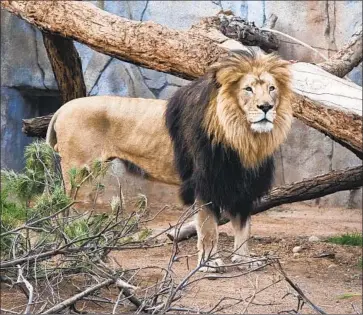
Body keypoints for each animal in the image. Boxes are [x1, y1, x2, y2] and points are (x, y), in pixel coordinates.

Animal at [47, 50, 294, 272]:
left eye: (272, 89)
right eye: (248, 89)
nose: (266, 107)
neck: (244, 137)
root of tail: (62, 108)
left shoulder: (241, 186)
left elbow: (244, 228)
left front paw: (244, 261)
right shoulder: (204, 184)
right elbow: (208, 228)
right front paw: (209, 263)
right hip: (80, 174)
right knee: (69, 213)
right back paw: (78, 253)